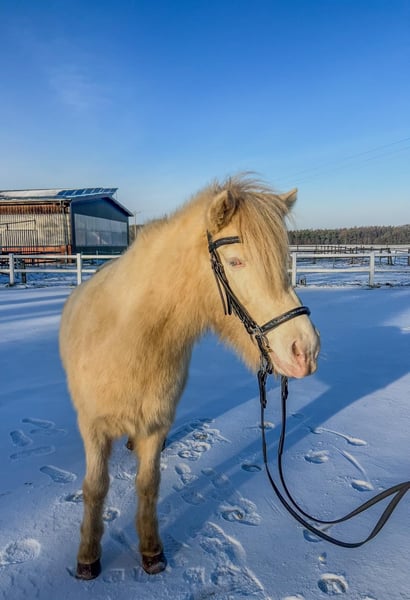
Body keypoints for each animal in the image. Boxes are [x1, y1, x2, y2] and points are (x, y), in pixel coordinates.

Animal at [59, 175, 320, 580]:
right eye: (236, 261)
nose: (304, 351)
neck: (128, 339)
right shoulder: (93, 428)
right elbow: (95, 488)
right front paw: (87, 556)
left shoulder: (154, 424)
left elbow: (148, 485)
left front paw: (151, 551)